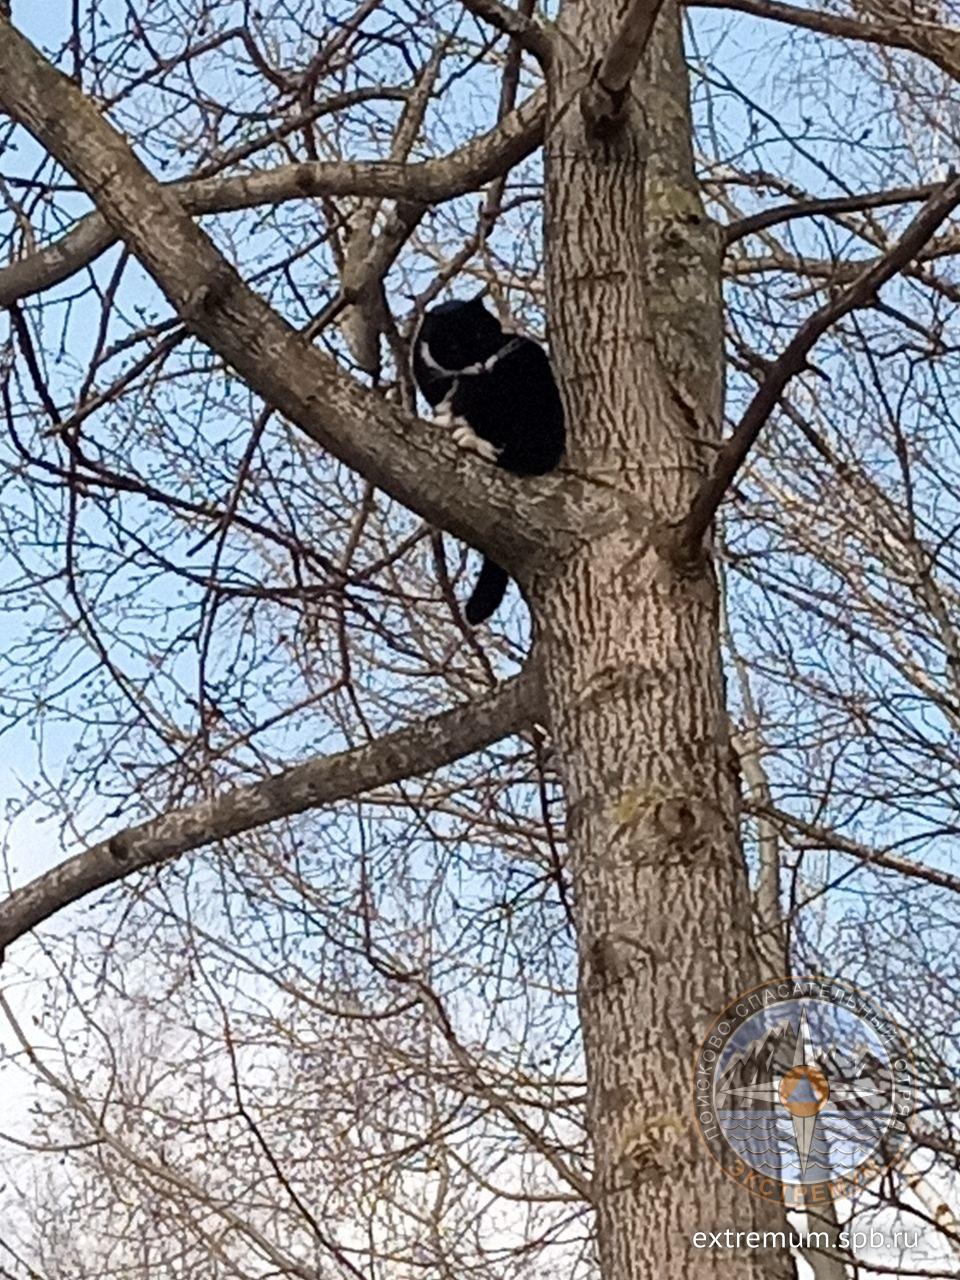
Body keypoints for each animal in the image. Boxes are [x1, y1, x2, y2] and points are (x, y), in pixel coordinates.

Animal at [412, 294, 563, 624]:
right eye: (454, 346)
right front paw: (445, 414)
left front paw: (453, 416)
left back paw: (469, 437)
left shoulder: (508, 359)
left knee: (522, 453)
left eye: (482, 335)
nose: (481, 364)